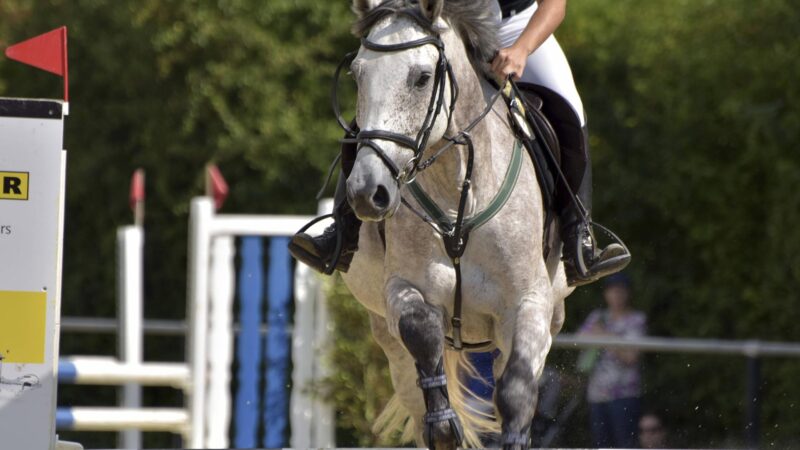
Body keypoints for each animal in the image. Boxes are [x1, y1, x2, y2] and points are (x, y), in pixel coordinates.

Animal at [338, 1, 574, 448]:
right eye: (357, 76)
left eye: (422, 78)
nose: (366, 192)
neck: (457, 186)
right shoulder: (402, 289)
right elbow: (421, 329)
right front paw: (445, 423)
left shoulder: (529, 303)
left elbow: (516, 392)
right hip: (386, 336)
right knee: (413, 389)